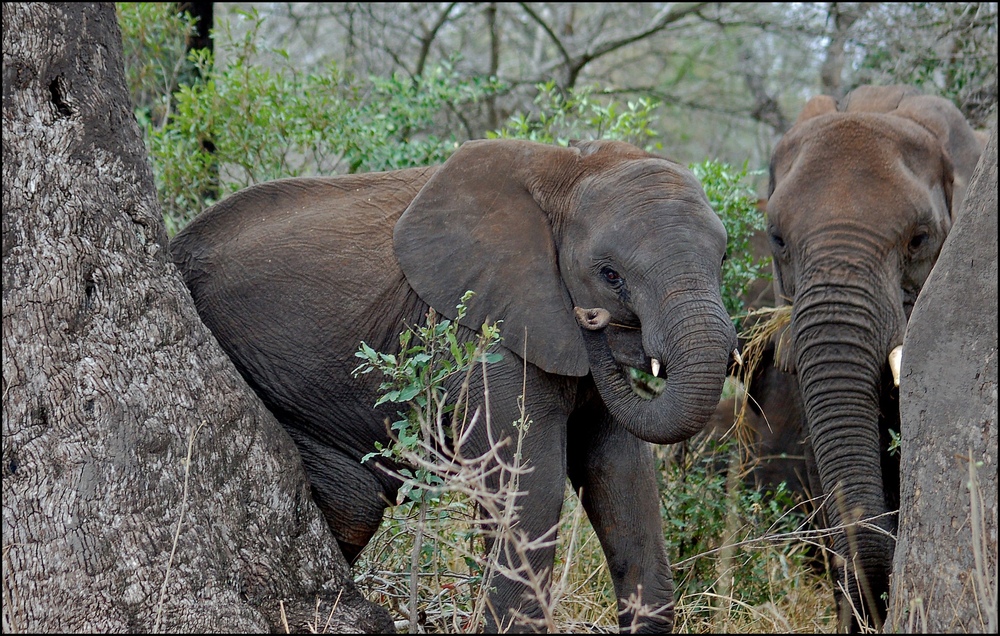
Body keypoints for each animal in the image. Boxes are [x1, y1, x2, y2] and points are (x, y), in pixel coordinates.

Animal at [170, 140, 736, 636]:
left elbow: (622, 477)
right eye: (610, 274)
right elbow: (529, 490)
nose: (592, 320)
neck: (566, 169)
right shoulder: (486, 336)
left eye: (725, 261)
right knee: (355, 500)